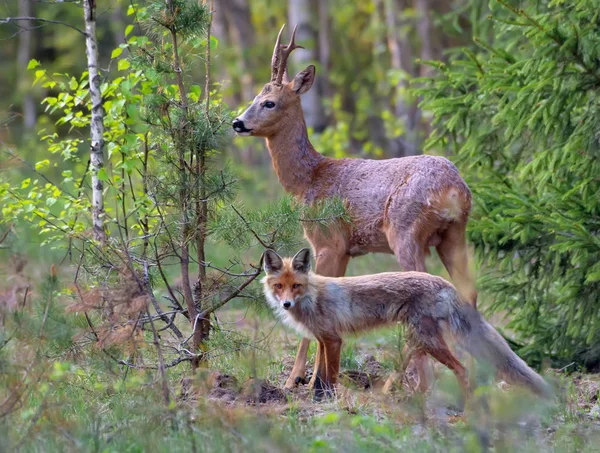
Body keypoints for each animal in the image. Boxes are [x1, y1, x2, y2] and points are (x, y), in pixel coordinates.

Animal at [232, 24, 476, 390]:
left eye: (269, 102)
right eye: (253, 99)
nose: (237, 123)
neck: (308, 180)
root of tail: (454, 188)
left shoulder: (328, 241)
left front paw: (300, 380)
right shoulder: (346, 249)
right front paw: (315, 377)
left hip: (405, 232)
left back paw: (414, 384)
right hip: (454, 235)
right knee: (469, 292)